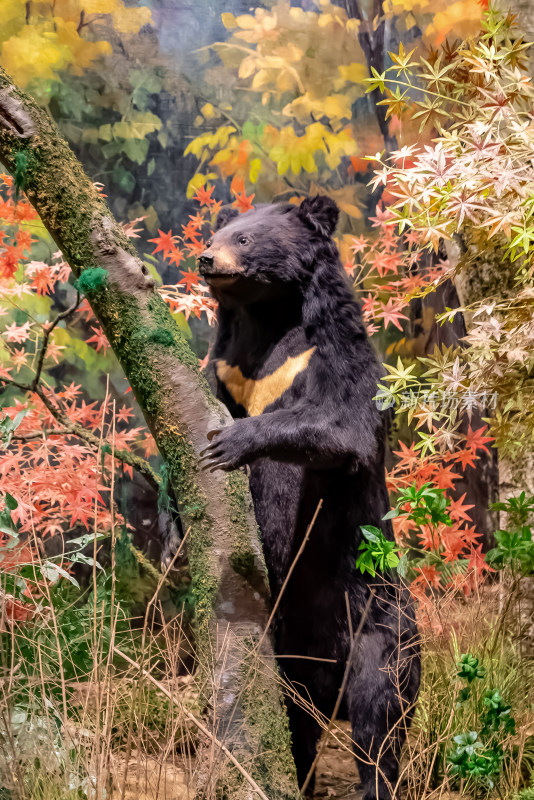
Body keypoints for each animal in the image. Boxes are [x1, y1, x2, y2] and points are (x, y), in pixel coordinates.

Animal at [199, 195, 420, 800]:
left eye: (246, 239)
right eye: (217, 233)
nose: (206, 259)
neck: (267, 320)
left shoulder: (333, 355)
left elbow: (341, 425)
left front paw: (230, 443)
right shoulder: (227, 370)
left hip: (380, 631)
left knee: (378, 721)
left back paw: (373, 781)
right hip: (289, 662)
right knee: (299, 728)